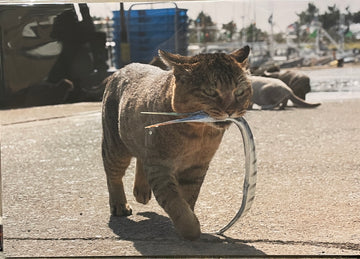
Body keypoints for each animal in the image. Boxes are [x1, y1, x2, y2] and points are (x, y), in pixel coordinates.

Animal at [101, 45, 252, 241]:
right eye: (210, 92)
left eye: (239, 92)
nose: (230, 110)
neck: (197, 134)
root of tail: (120, 69)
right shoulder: (160, 167)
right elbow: (175, 202)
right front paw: (190, 228)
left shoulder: (196, 168)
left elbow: (188, 199)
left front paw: (189, 218)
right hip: (115, 147)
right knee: (113, 175)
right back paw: (119, 204)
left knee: (141, 158)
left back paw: (141, 190)